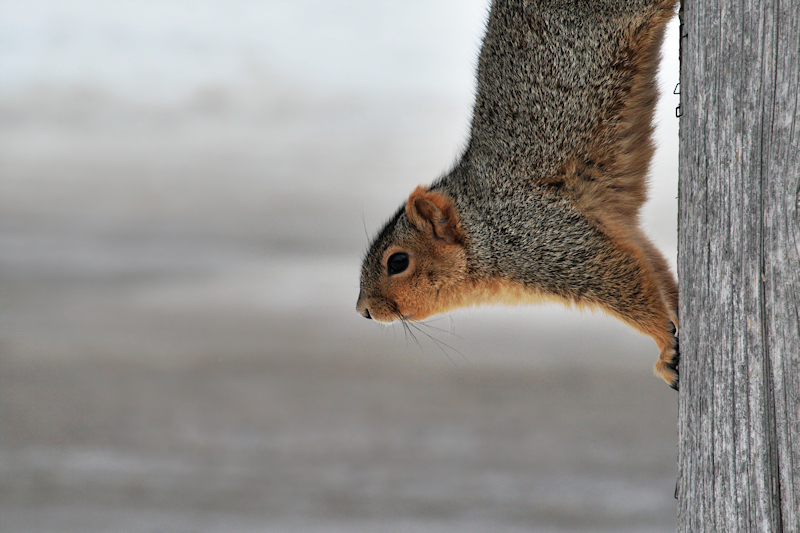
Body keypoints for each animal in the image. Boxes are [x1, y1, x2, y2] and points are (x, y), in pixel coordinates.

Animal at [358, 1, 680, 390]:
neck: (483, 226)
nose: (364, 310)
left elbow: (625, 280)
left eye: (398, 262)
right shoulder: (609, 223)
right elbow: (654, 266)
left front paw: (664, 344)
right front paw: (676, 320)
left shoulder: (547, 239)